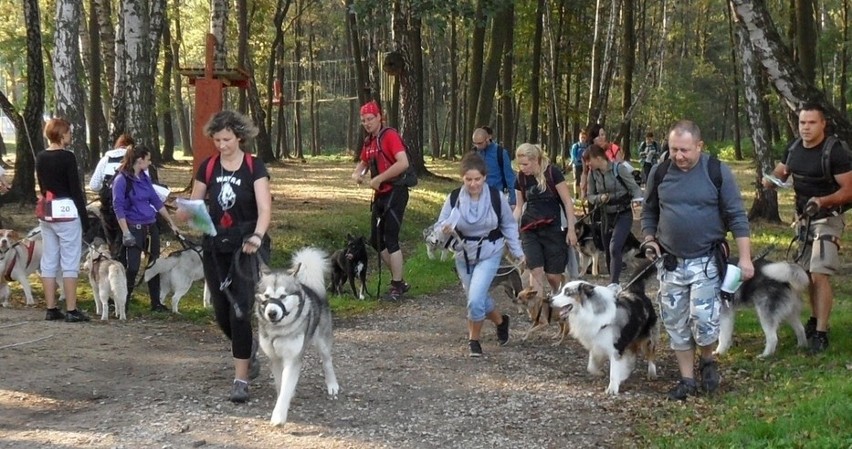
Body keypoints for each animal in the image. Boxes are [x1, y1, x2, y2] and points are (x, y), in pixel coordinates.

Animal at [256, 247, 340, 426]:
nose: (272, 313)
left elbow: (286, 385)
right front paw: (285, 397)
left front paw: (279, 416)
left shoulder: (293, 359)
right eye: (266, 296)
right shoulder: (275, 359)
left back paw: (332, 384)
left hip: (322, 342)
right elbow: (281, 384)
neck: (279, 331)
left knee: (327, 362)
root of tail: (310, 287)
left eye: (283, 296)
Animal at [544, 262, 660, 396]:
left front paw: (612, 389)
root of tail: (636, 291)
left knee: (651, 352)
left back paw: (652, 372)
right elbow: (591, 366)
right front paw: (600, 373)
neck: (589, 311)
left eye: (567, 293)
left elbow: (614, 371)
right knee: (633, 351)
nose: (549, 300)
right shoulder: (596, 343)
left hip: (647, 336)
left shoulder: (615, 347)